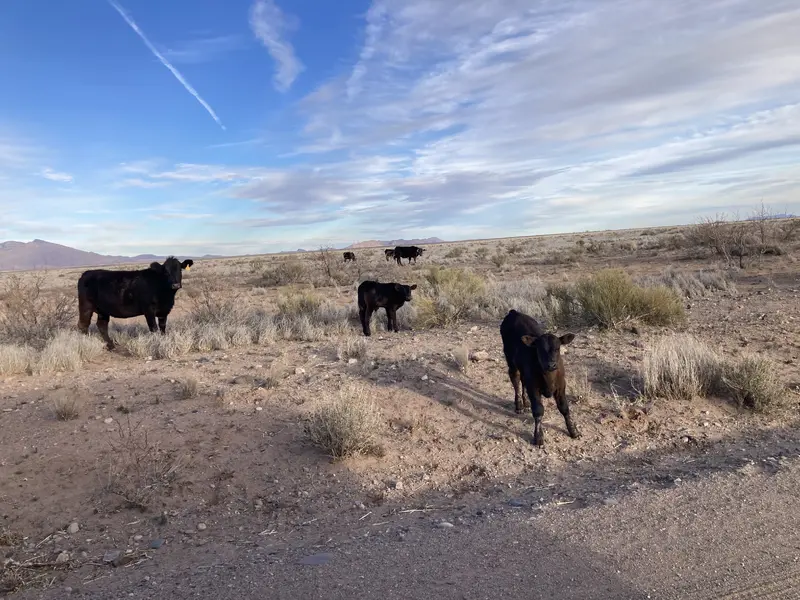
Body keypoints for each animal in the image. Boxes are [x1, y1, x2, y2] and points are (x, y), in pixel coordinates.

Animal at [500, 309, 579, 447]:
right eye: (540, 349)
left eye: (557, 348)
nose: (551, 364)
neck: (549, 378)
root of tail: (514, 312)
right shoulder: (534, 387)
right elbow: (538, 410)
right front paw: (539, 437)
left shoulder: (561, 386)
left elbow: (564, 408)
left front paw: (573, 430)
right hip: (510, 360)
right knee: (515, 380)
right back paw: (519, 406)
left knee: (522, 380)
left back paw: (526, 403)